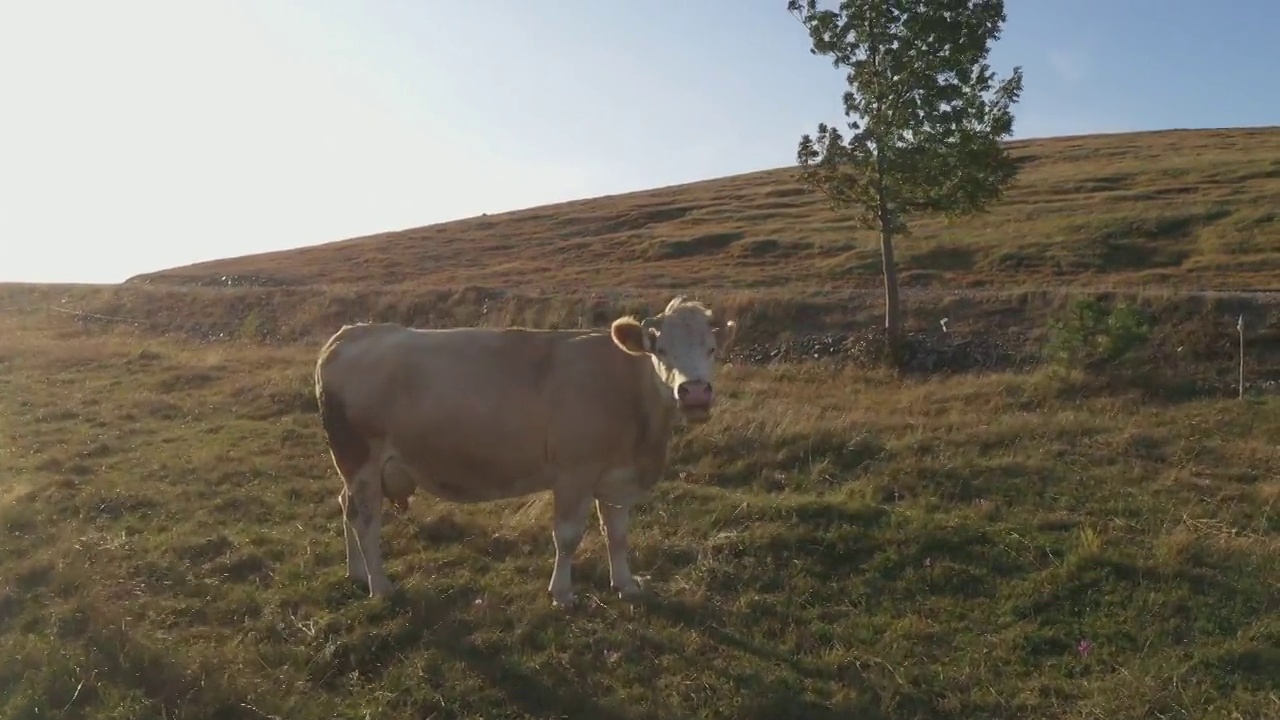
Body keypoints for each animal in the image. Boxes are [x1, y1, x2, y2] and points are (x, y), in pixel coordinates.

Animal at [311, 295, 747, 604]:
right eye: (661, 351)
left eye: (712, 349)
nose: (694, 392)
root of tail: (349, 333)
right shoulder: (574, 473)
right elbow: (567, 536)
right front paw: (562, 592)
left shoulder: (617, 478)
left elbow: (618, 534)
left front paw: (625, 583)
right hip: (360, 460)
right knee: (366, 521)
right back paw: (381, 587)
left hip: (352, 468)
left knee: (347, 508)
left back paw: (357, 573)